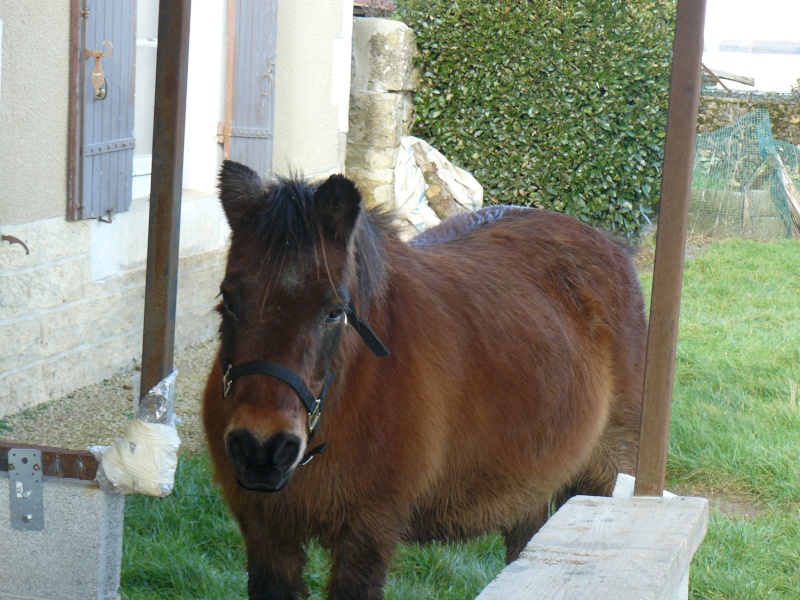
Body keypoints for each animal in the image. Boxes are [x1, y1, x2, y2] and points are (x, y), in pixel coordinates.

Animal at [203, 161, 648, 600]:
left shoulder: (366, 538)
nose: (261, 449)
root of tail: (612, 245)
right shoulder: (267, 536)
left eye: (335, 311)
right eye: (228, 298)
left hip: (605, 476)